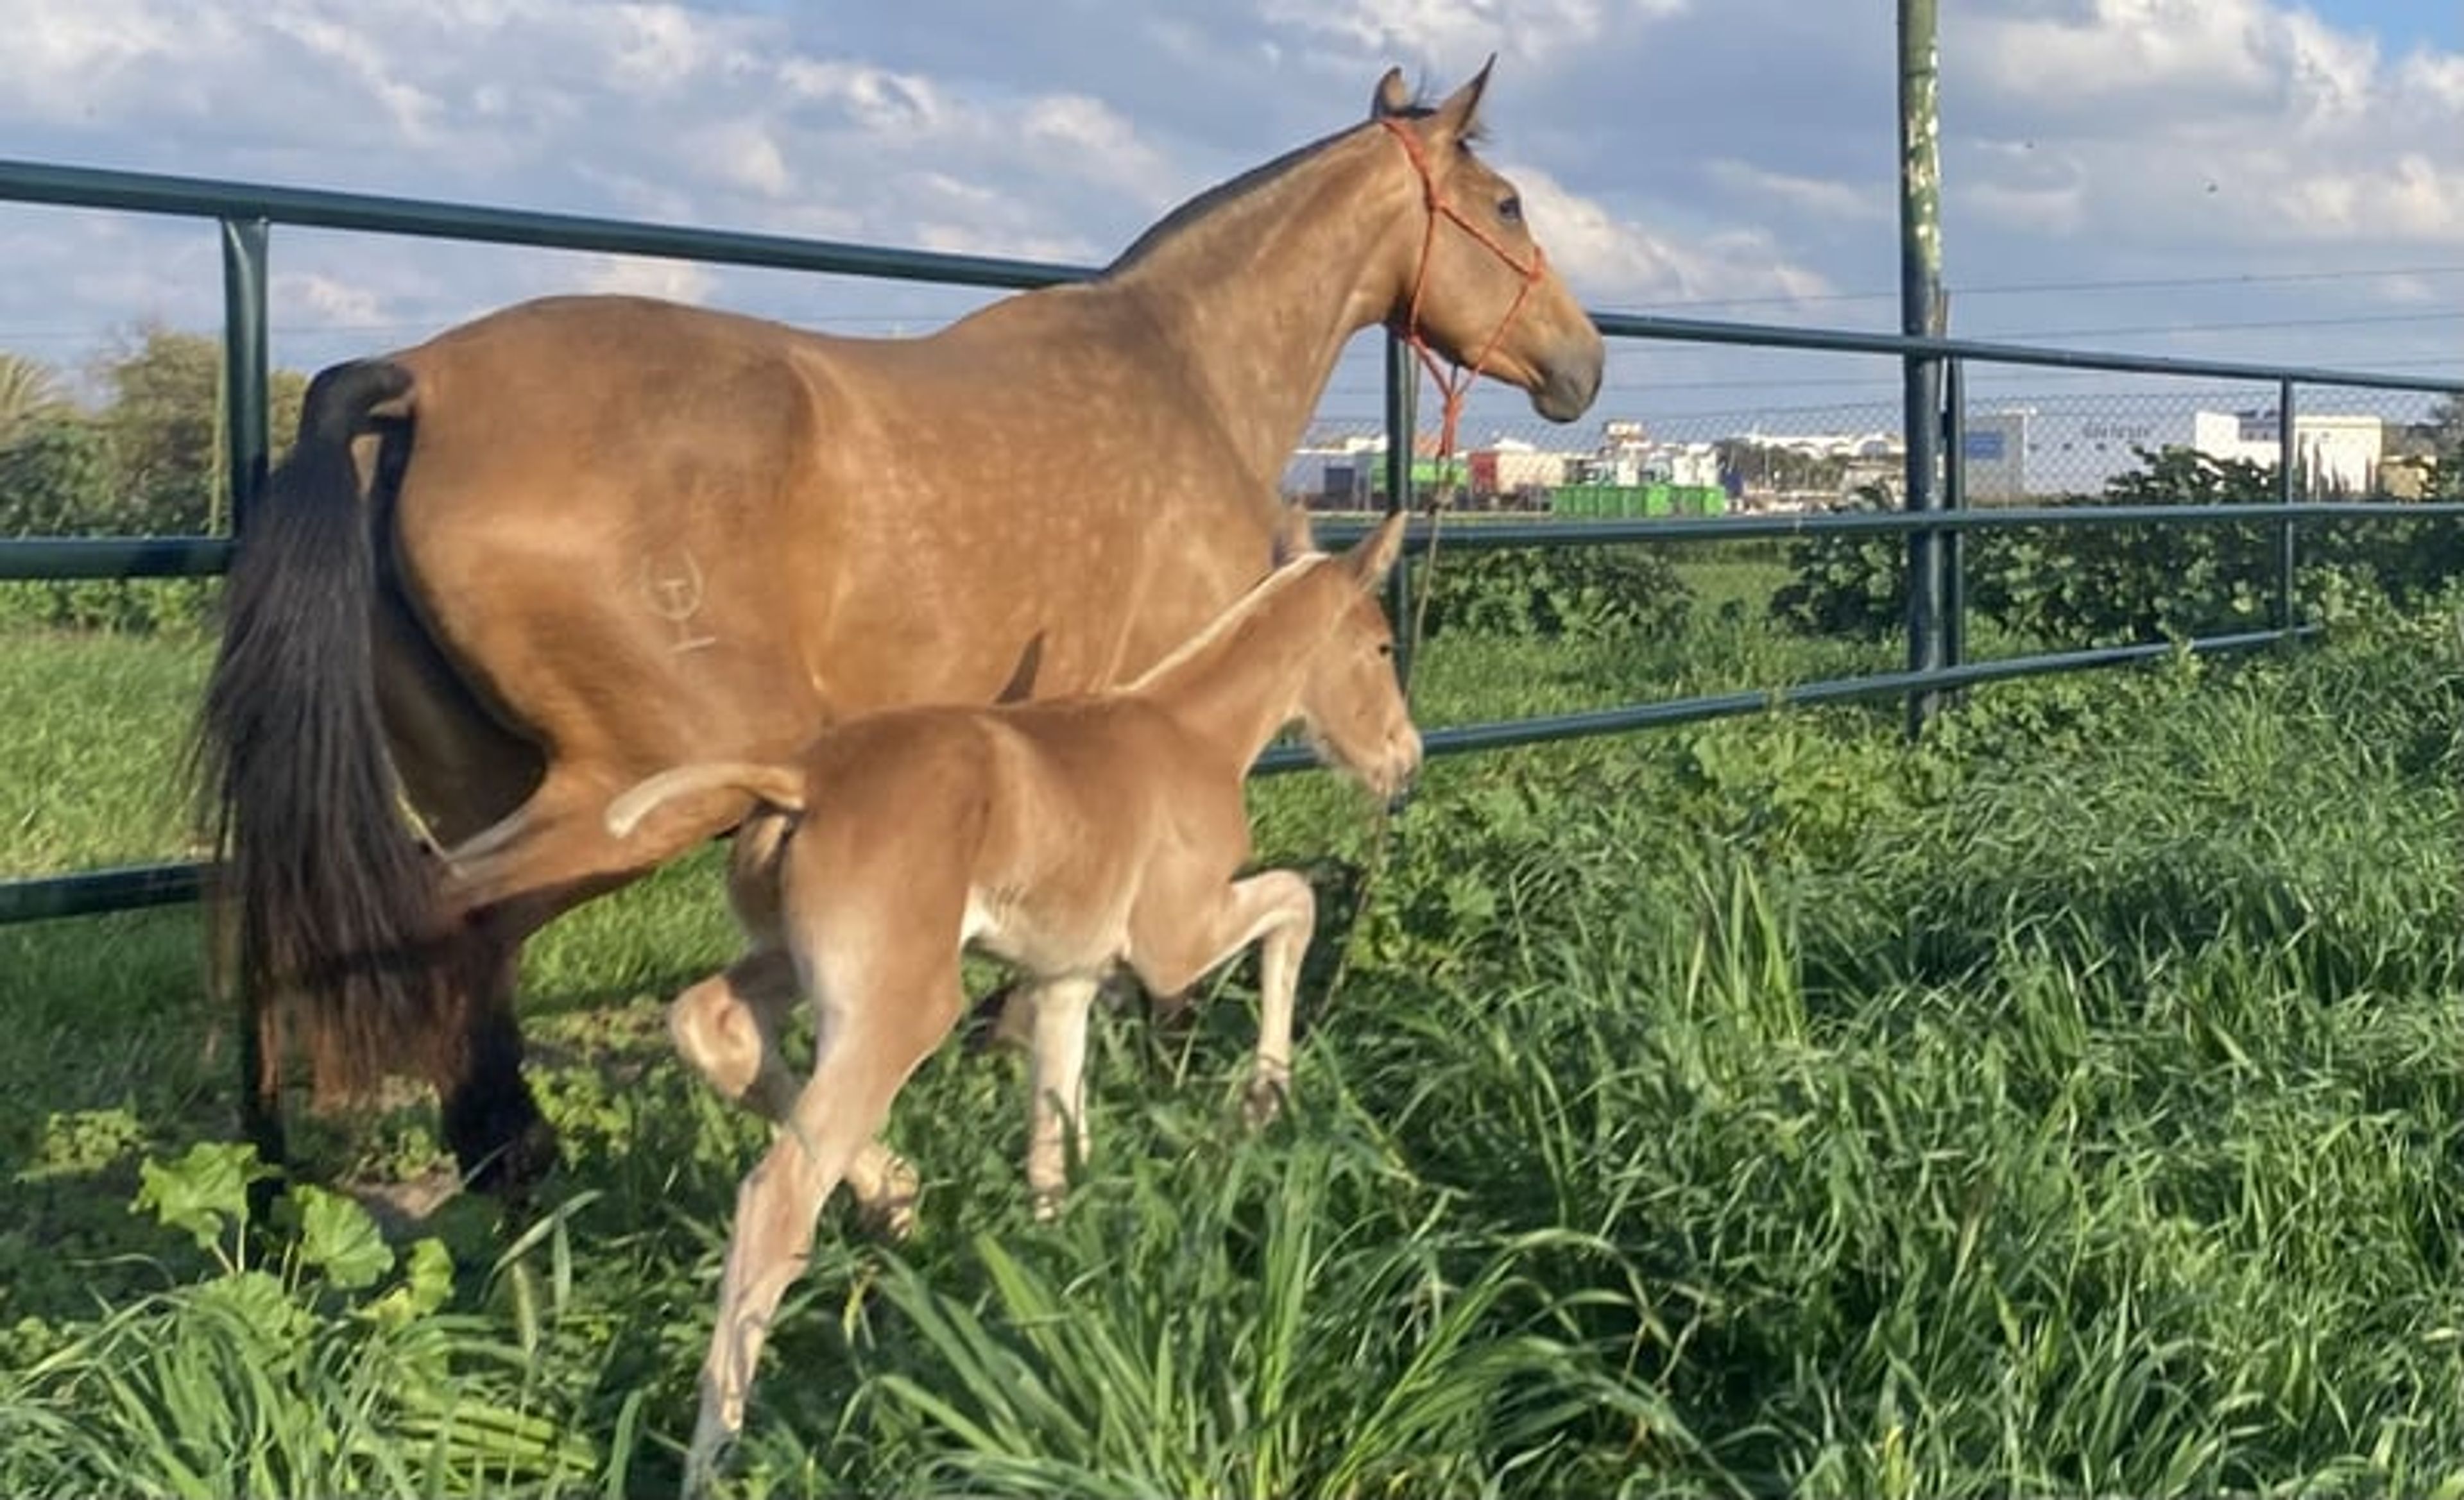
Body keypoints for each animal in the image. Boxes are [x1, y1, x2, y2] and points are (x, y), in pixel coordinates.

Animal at [195, 59, 1602, 1192]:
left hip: (487, 775)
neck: (1182, 368)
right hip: (636, 785)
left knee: (413, 933)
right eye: (1508, 205)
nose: (1583, 365)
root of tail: (415, 385)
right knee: (417, 917)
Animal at [599, 510, 1419, 1493]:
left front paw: (1057, 1291)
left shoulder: (1066, 979)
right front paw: (1262, 1096)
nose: (1406, 756)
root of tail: (802, 785)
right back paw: (714, 1448)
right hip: (902, 999)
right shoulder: (1174, 941)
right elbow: (1295, 900)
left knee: (710, 1022)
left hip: (796, 961)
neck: (1193, 732)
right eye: (1381, 645)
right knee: (777, 1195)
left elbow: (1053, 1139)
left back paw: (895, 1189)